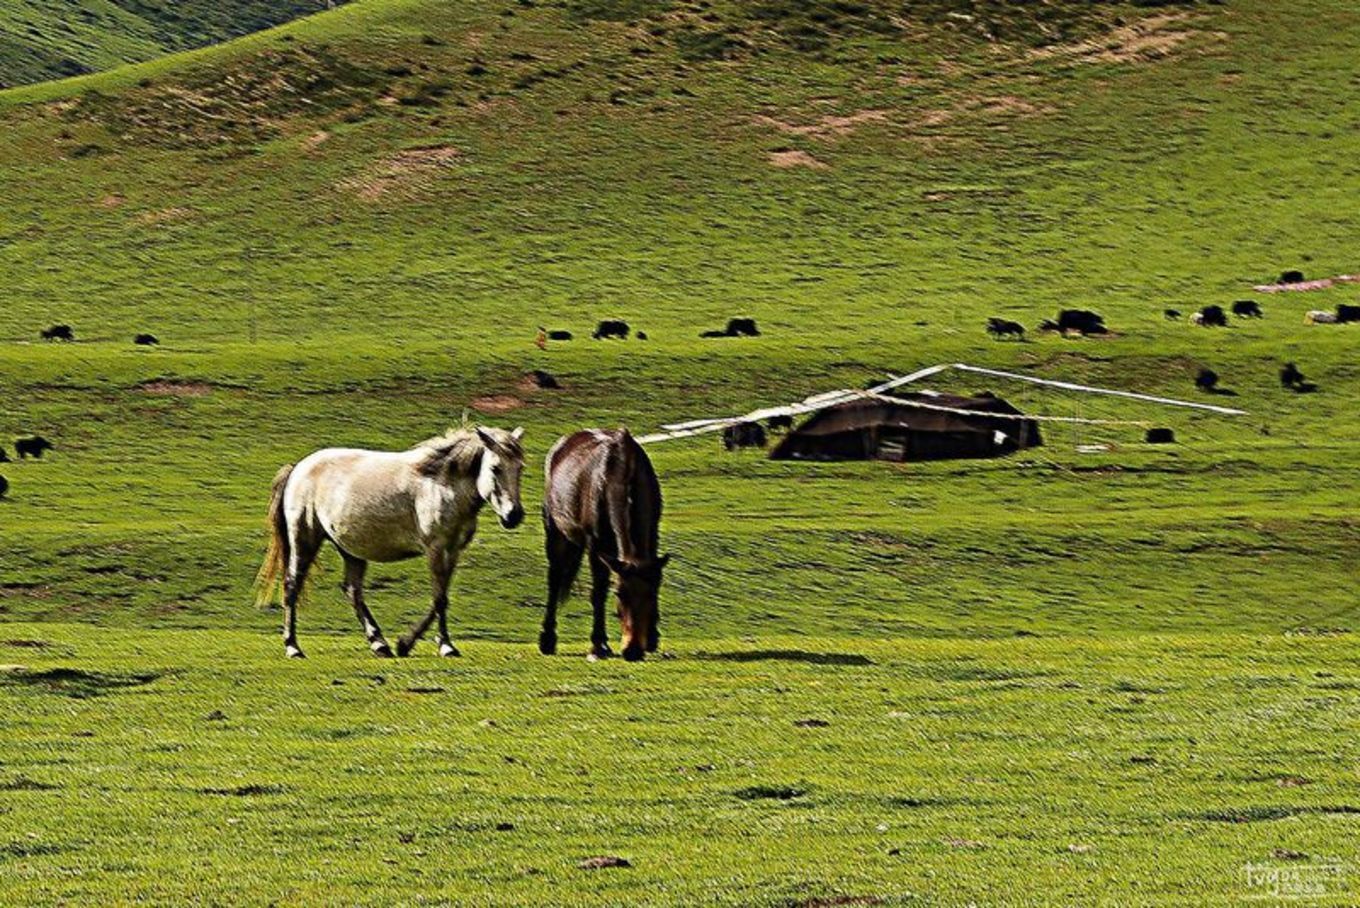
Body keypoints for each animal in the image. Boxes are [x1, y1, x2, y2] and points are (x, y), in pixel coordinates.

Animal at [255, 426, 524, 660]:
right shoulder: (436, 548)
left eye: (520, 468)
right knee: (292, 586)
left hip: (351, 549)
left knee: (352, 591)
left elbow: (442, 596)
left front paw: (411, 643)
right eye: (495, 468)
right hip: (304, 538)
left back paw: (379, 644)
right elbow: (439, 598)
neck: (442, 485)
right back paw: (293, 647)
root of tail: (297, 468)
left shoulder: (453, 549)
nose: (514, 516)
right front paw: (440, 645)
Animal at [541, 426, 669, 660]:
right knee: (554, 580)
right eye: (619, 594)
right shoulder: (596, 545)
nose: (632, 650)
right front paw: (598, 645)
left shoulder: (653, 534)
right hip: (555, 533)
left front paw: (653, 638)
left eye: (651, 594)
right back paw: (547, 640)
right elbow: (598, 591)